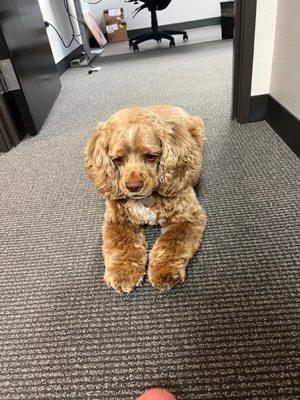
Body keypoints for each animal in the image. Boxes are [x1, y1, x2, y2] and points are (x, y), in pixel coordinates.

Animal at [84, 104, 206, 292]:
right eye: (117, 159)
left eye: (151, 156)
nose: (133, 186)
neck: (146, 198)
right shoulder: (117, 220)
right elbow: (122, 244)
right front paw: (123, 272)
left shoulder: (188, 216)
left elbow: (171, 243)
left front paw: (164, 270)